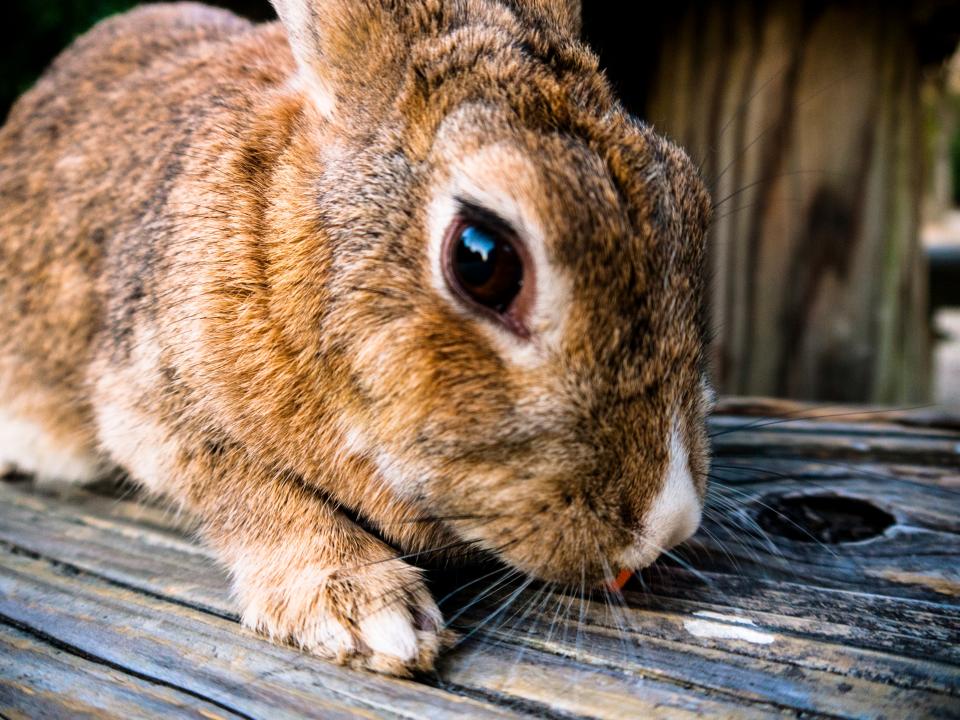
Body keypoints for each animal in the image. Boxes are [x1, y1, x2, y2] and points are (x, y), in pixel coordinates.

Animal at [0, 0, 712, 676]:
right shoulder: (148, 401)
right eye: (482, 260)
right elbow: (247, 491)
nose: (666, 526)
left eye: (692, 198)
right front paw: (369, 614)